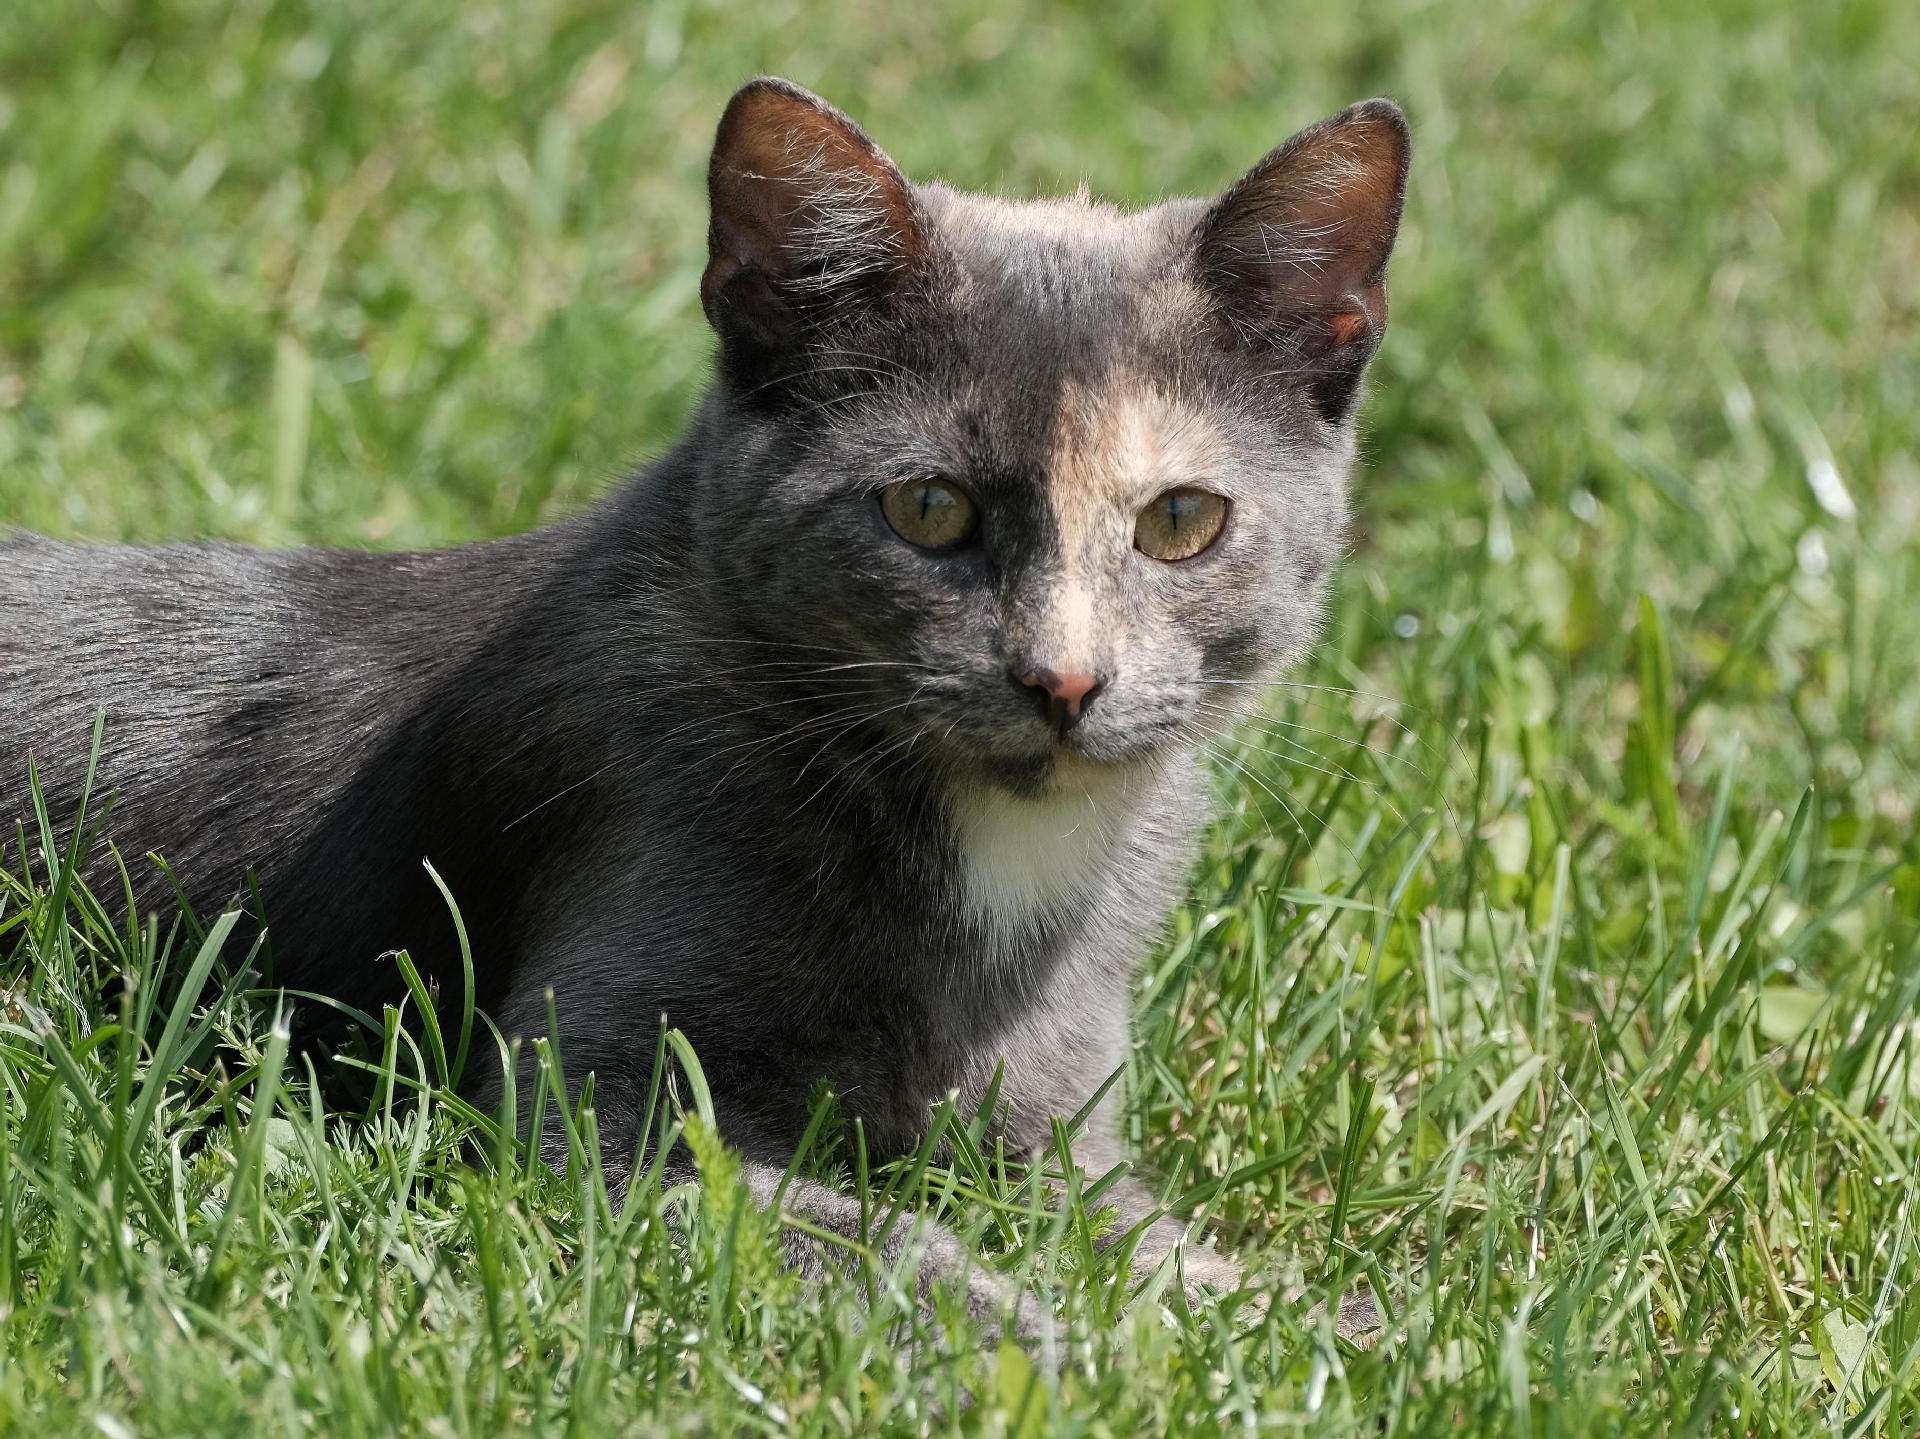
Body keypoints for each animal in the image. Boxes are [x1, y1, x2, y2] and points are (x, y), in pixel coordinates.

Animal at [0, 77, 1408, 1340]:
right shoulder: (588, 1100)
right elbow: (833, 1225)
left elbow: (1148, 1239)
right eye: (928, 507)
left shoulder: (1057, 1131)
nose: (1062, 678)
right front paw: (1039, 1345)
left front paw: (1314, 1321)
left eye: (1181, 520)